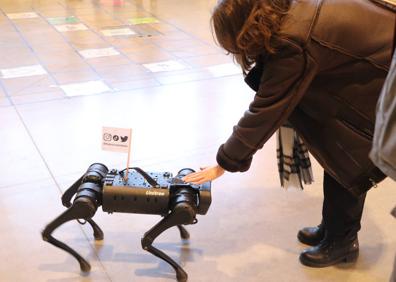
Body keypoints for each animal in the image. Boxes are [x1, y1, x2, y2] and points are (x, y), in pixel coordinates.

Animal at [41, 163, 212, 282]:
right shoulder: (180, 211)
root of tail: (96, 179)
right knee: (53, 225)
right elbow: (147, 240)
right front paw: (180, 273)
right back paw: (84, 262)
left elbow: (147, 239)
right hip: (86, 201)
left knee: (69, 205)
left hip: (87, 199)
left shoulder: (179, 210)